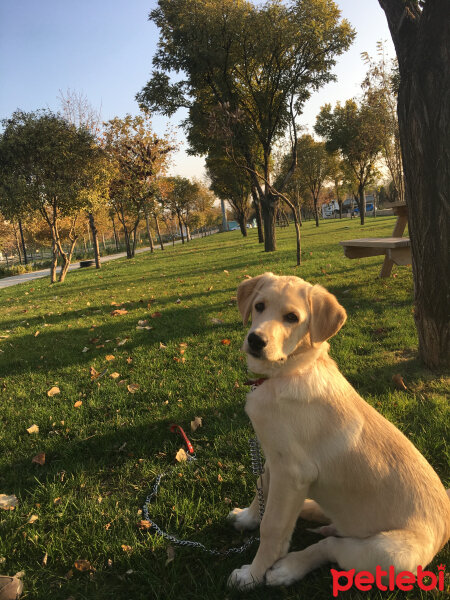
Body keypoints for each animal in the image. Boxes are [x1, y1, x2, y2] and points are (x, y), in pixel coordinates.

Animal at [229, 274, 450, 592]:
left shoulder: (292, 471)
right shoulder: (275, 458)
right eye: (259, 306)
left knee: (332, 545)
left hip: (388, 555)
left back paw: (288, 568)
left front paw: (252, 574)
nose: (256, 340)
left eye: (291, 317)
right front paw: (247, 517)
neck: (289, 372)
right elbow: (261, 488)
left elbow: (272, 528)